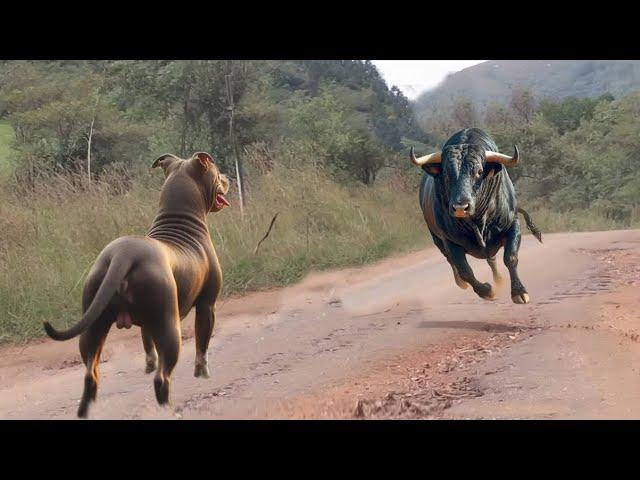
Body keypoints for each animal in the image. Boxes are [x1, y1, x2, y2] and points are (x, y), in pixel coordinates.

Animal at [42, 152, 229, 418]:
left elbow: (147, 345)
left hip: (93, 325)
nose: (227, 178)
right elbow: (202, 347)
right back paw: (168, 410)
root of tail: (123, 254)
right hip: (169, 327)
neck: (179, 221)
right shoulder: (207, 306)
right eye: (217, 173)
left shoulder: (148, 325)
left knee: (90, 374)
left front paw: (149, 364)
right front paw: (202, 374)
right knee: (162, 378)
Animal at [416, 127, 540, 304]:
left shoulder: (512, 224)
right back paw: (461, 283)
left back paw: (499, 279)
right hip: (437, 238)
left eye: (479, 172)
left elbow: (510, 257)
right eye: (446, 174)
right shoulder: (450, 241)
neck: (478, 221)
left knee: (492, 260)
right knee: (451, 262)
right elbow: (465, 270)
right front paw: (486, 291)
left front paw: (519, 292)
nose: (460, 207)